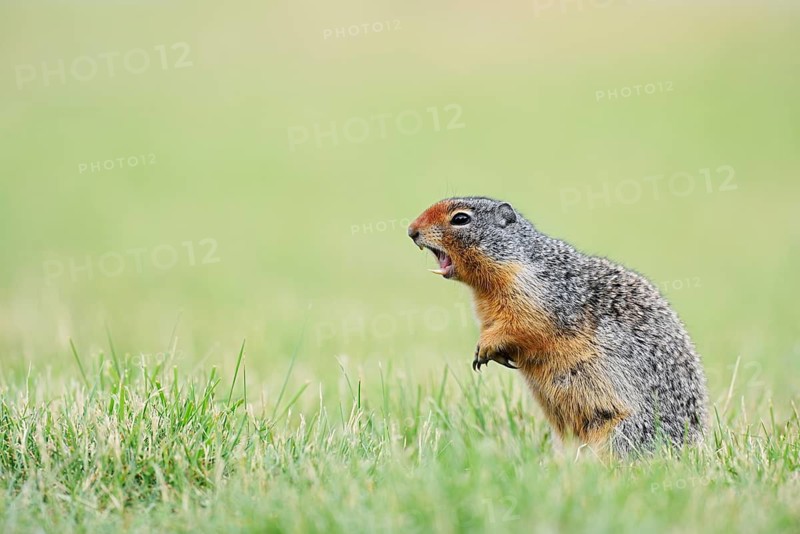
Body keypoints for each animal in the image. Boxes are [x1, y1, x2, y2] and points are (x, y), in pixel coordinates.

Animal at [407, 196, 708, 456]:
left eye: (460, 218)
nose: (411, 230)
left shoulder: (538, 294)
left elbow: (524, 325)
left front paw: (485, 348)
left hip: (623, 433)